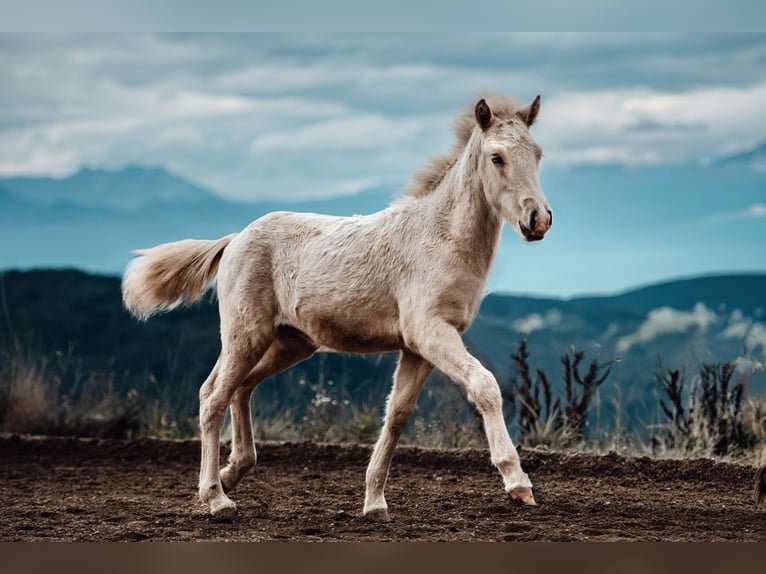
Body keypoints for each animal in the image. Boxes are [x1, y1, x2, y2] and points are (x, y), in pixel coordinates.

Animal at [121, 93, 553, 521]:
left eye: (538, 153)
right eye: (497, 157)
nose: (539, 220)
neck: (441, 236)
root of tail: (235, 239)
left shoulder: (418, 347)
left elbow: (396, 416)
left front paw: (374, 502)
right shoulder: (429, 331)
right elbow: (485, 385)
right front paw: (517, 483)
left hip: (290, 342)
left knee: (241, 388)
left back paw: (232, 472)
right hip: (245, 335)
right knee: (212, 397)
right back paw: (215, 496)